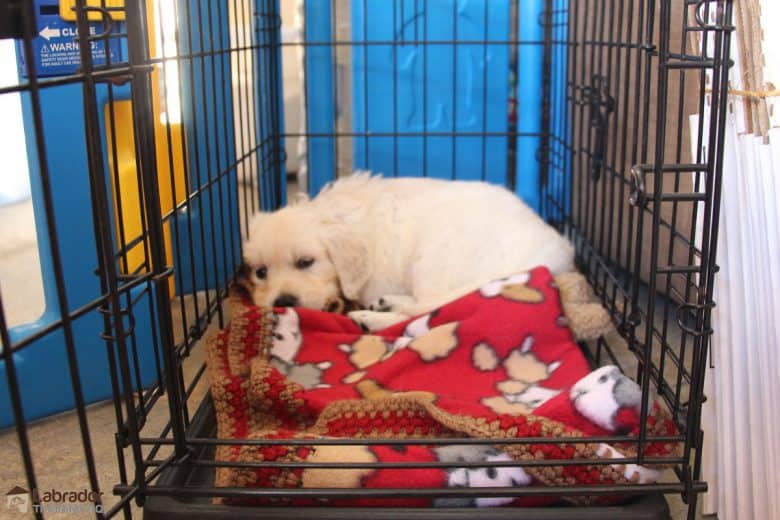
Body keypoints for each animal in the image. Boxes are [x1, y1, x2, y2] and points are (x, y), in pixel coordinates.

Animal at [242, 174, 572, 330]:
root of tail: (555, 252)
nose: (283, 302)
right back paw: (385, 304)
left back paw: (371, 318)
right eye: (261, 272)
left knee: (427, 314)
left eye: (306, 262)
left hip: (434, 254)